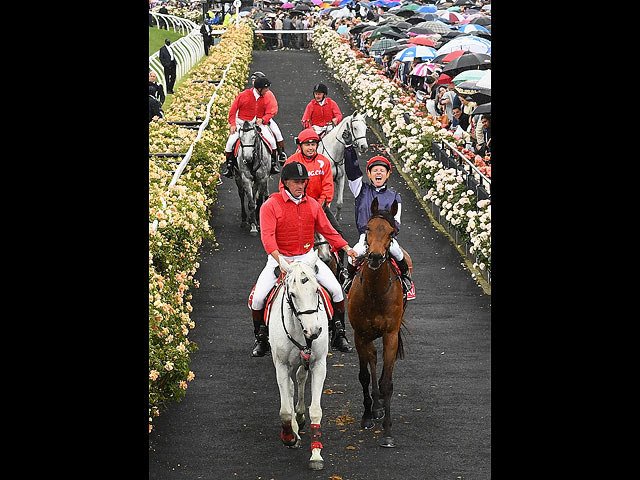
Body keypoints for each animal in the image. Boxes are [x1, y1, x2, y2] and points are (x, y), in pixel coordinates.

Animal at [268, 253, 328, 470]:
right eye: (293, 294)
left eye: (316, 290)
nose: (314, 331)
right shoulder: (281, 366)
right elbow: (285, 411)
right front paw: (289, 437)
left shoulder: (319, 364)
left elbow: (316, 410)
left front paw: (316, 454)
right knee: (291, 387)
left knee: (300, 379)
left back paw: (300, 416)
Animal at [344, 197, 410, 448]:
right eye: (369, 228)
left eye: (391, 232)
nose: (373, 257)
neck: (374, 293)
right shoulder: (360, 334)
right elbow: (364, 376)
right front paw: (367, 416)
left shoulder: (390, 334)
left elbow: (387, 383)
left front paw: (388, 431)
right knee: (371, 360)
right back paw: (375, 406)